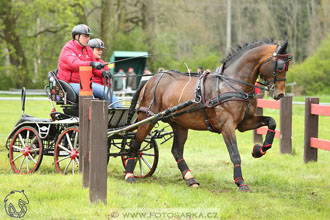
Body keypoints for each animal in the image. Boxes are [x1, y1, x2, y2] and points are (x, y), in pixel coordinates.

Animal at [125, 40, 292, 192]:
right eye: (280, 66)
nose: (280, 94)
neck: (232, 84)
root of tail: (150, 80)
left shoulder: (245, 123)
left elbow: (272, 122)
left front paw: (260, 150)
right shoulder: (227, 126)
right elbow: (235, 154)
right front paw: (240, 182)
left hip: (179, 124)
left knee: (176, 151)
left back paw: (190, 178)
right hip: (147, 120)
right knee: (134, 144)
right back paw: (129, 174)